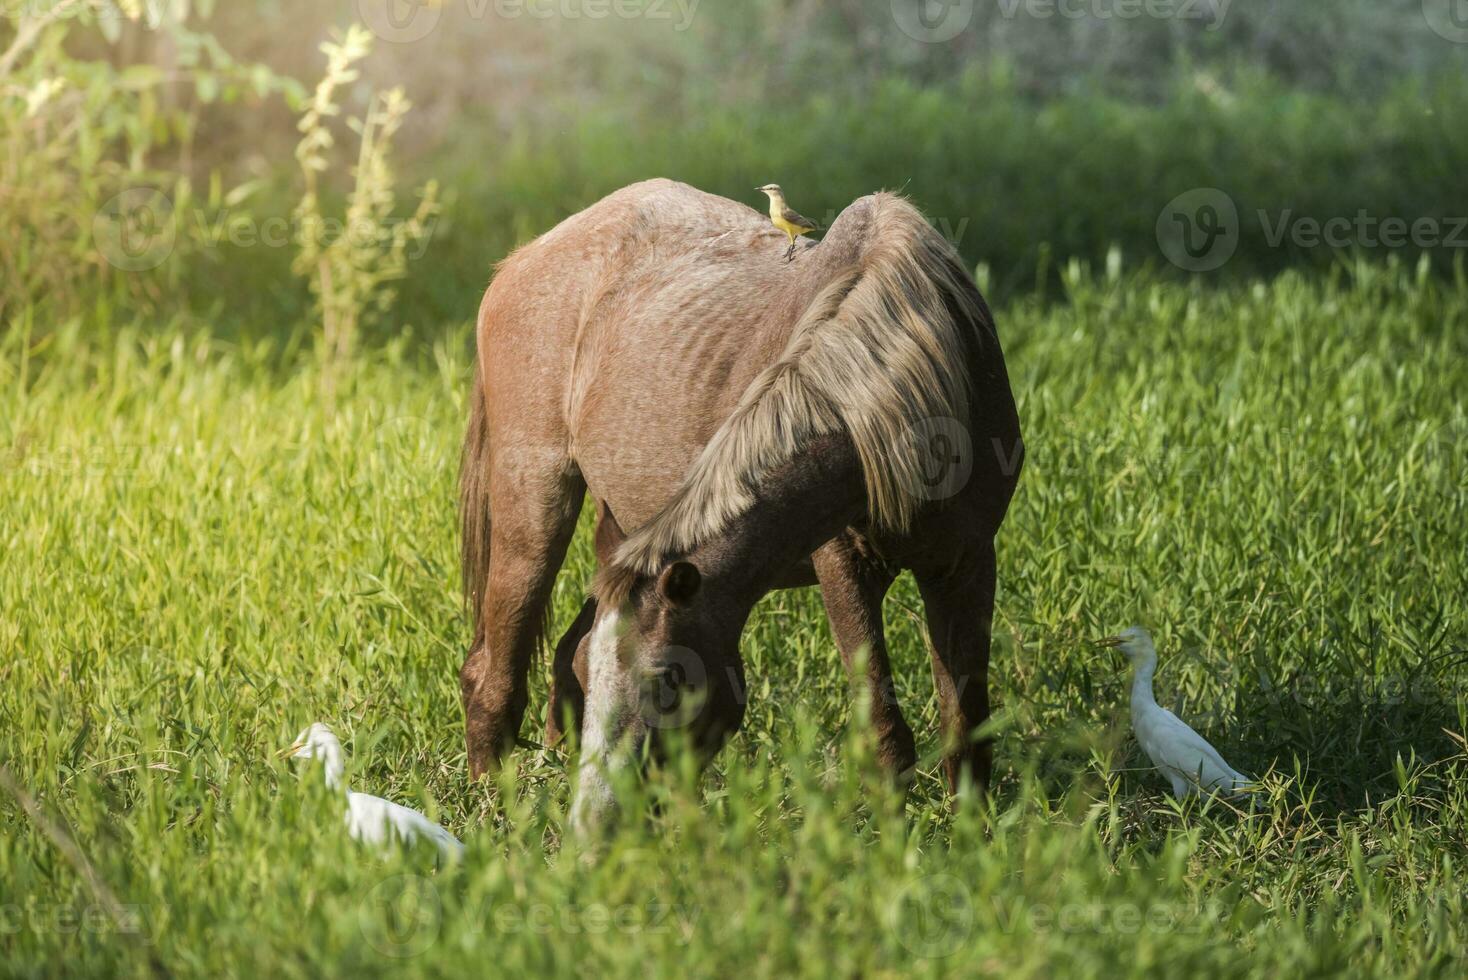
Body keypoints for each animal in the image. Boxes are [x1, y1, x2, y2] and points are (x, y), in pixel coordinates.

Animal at [458, 178, 1021, 827]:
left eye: (669, 680)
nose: (597, 821)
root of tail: (520, 261)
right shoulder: (844, 567)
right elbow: (885, 729)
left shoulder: (967, 562)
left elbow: (966, 724)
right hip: (535, 513)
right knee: (492, 674)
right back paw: (490, 810)